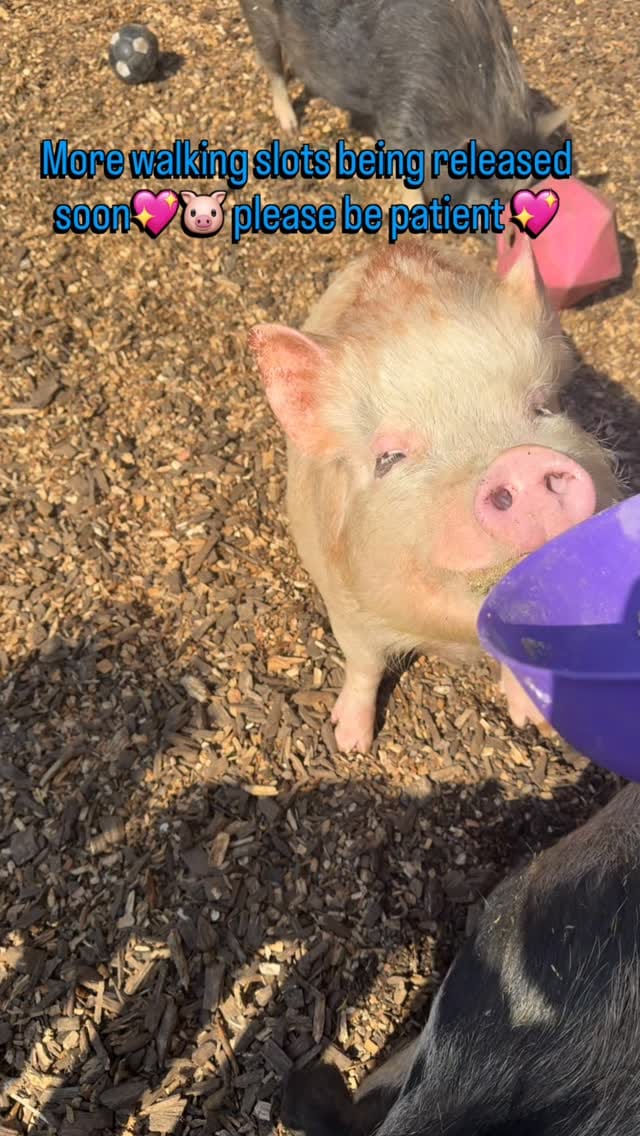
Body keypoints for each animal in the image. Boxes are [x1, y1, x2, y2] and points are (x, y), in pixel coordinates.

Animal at [238, 0, 567, 207]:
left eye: (523, 189)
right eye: (492, 192)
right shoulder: (399, 109)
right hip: (259, 17)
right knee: (271, 66)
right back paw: (291, 127)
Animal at [248, 239, 620, 752]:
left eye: (545, 407)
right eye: (389, 457)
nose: (521, 460)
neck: (451, 637)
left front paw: (530, 722)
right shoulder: (345, 606)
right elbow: (364, 666)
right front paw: (350, 744)